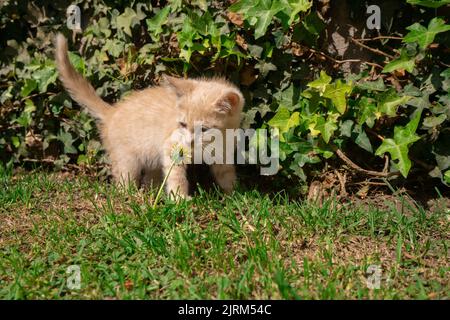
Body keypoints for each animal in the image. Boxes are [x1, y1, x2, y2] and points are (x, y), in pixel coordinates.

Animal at [54, 33, 244, 196]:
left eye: (204, 129)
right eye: (182, 125)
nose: (189, 141)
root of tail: (112, 112)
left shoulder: (224, 152)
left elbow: (226, 174)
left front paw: (234, 194)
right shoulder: (172, 148)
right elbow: (176, 176)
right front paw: (180, 199)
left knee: (149, 178)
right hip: (127, 158)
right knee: (124, 179)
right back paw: (130, 196)